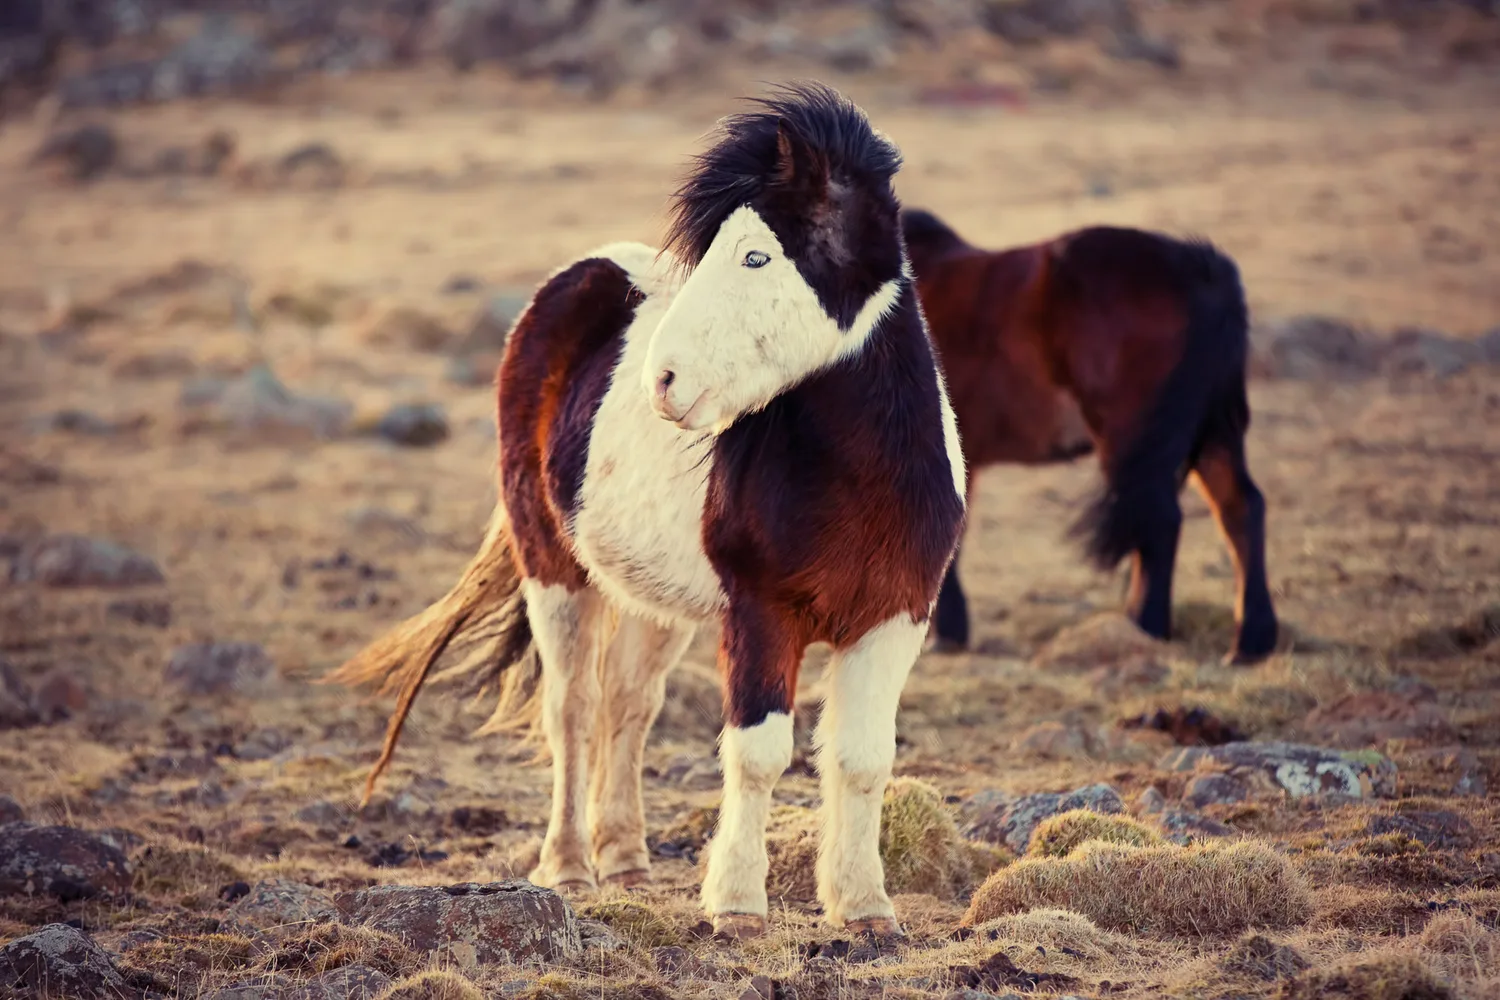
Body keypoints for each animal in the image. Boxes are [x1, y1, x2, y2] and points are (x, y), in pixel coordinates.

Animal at [331, 84, 966, 941]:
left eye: (756, 256)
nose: (661, 381)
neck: (860, 477)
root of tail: (570, 283)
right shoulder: (760, 615)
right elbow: (758, 753)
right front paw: (736, 905)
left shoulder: (895, 618)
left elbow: (864, 761)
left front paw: (866, 908)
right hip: (555, 574)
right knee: (572, 710)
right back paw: (569, 865)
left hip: (655, 601)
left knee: (628, 707)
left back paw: (626, 857)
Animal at [901, 208, 1277, 665]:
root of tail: (1203, 271)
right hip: (1210, 433)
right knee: (1240, 509)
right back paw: (1250, 641)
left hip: (1131, 438)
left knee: (1160, 520)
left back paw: (1143, 626)